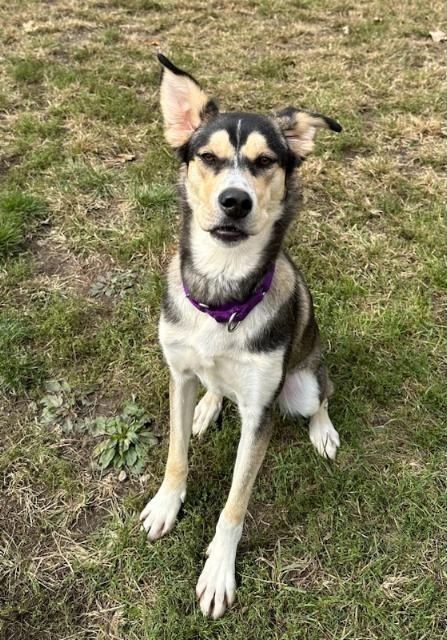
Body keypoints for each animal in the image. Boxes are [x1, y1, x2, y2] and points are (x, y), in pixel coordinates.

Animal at [141, 55, 344, 620]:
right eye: (207, 157)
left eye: (266, 161)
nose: (235, 201)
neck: (223, 290)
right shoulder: (178, 372)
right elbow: (176, 455)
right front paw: (165, 505)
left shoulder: (260, 411)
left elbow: (235, 504)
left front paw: (217, 572)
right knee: (215, 389)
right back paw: (209, 406)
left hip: (303, 384)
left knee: (322, 396)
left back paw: (323, 431)